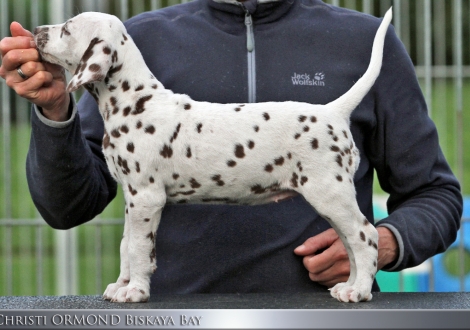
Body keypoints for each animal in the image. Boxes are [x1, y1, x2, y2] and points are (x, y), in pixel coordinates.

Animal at [34, 7, 392, 302]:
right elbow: (125, 244)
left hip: (329, 192)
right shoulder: (131, 198)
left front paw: (135, 291)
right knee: (350, 243)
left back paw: (359, 291)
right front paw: (122, 286)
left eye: (67, 29)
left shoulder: (147, 197)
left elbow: (138, 247)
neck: (135, 101)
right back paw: (349, 285)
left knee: (365, 235)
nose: (37, 30)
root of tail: (334, 111)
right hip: (331, 200)